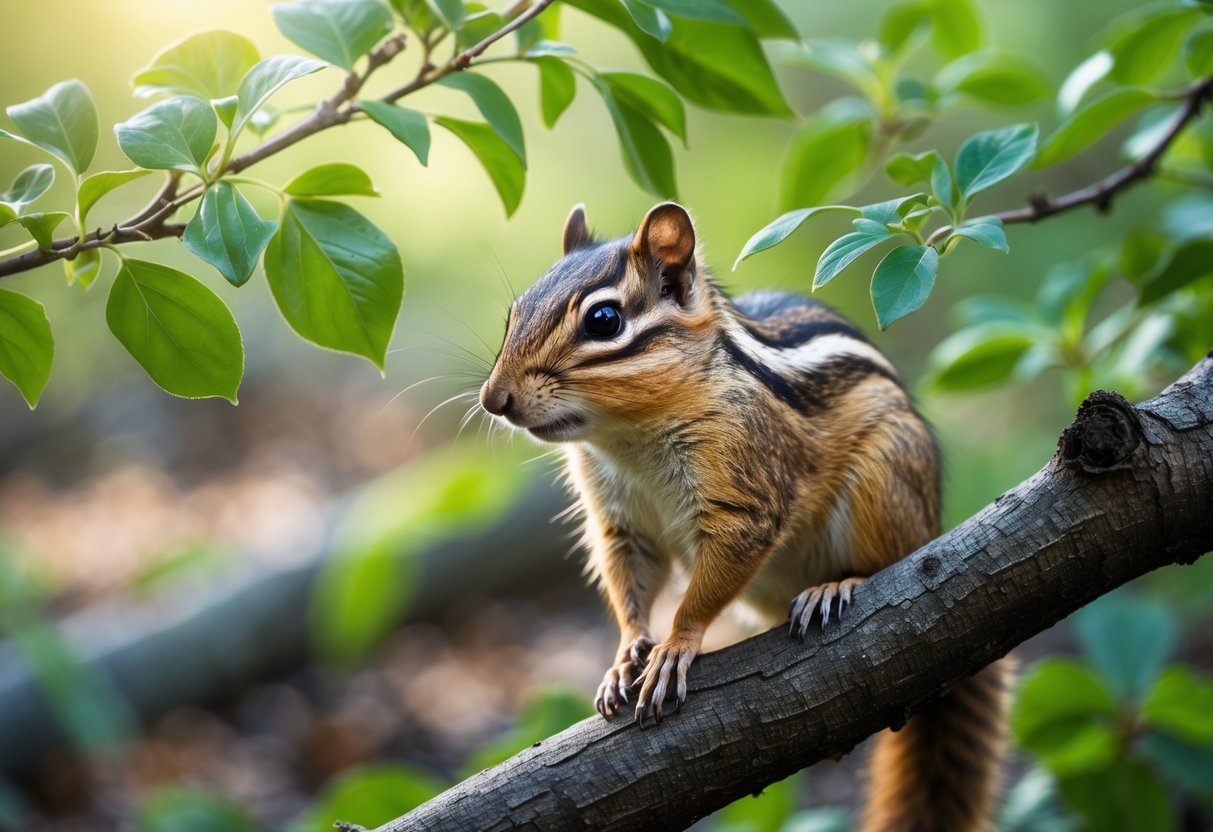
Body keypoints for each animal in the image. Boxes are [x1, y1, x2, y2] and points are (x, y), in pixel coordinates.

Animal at [480, 202, 1008, 832]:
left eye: (604, 320)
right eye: (514, 312)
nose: (493, 399)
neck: (627, 437)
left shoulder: (744, 497)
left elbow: (709, 584)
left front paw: (675, 646)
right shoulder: (620, 522)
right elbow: (629, 578)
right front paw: (626, 653)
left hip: (887, 479)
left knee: (892, 558)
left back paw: (835, 585)